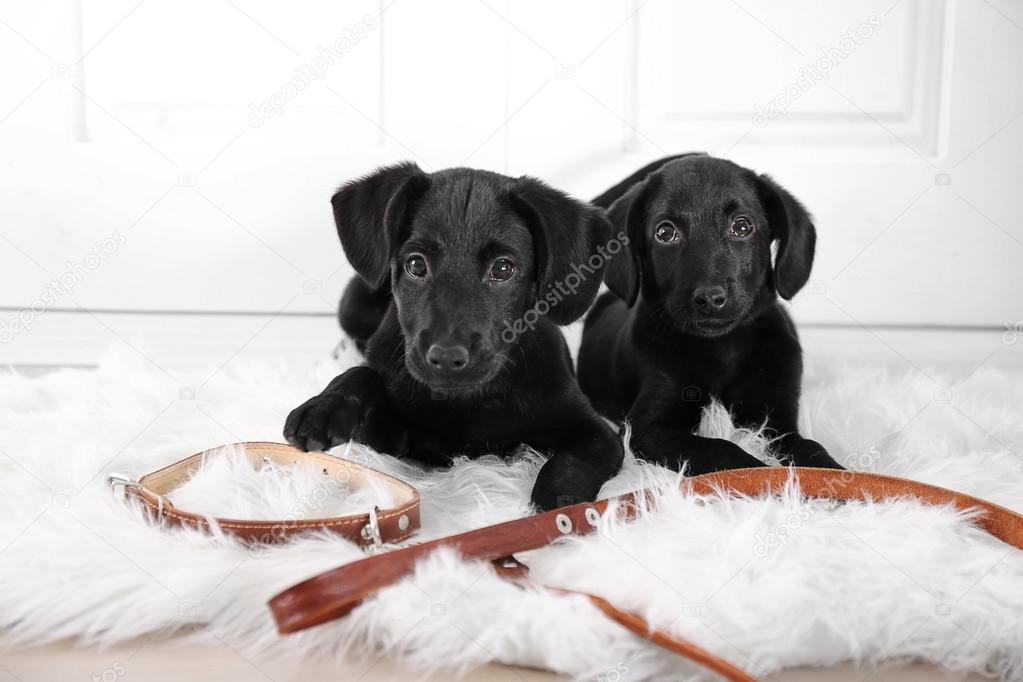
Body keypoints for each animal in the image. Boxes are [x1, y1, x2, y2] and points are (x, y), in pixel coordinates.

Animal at [284, 162, 626, 509]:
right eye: (415, 265)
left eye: (503, 269)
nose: (446, 357)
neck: (469, 400)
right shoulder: (389, 440)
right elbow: (360, 375)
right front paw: (324, 407)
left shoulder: (598, 431)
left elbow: (572, 462)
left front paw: (559, 503)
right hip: (354, 302)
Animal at [581, 154, 842, 474]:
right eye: (665, 233)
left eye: (742, 227)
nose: (709, 298)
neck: (722, 348)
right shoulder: (648, 427)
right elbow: (724, 450)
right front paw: (767, 476)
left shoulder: (777, 420)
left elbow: (810, 448)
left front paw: (841, 474)